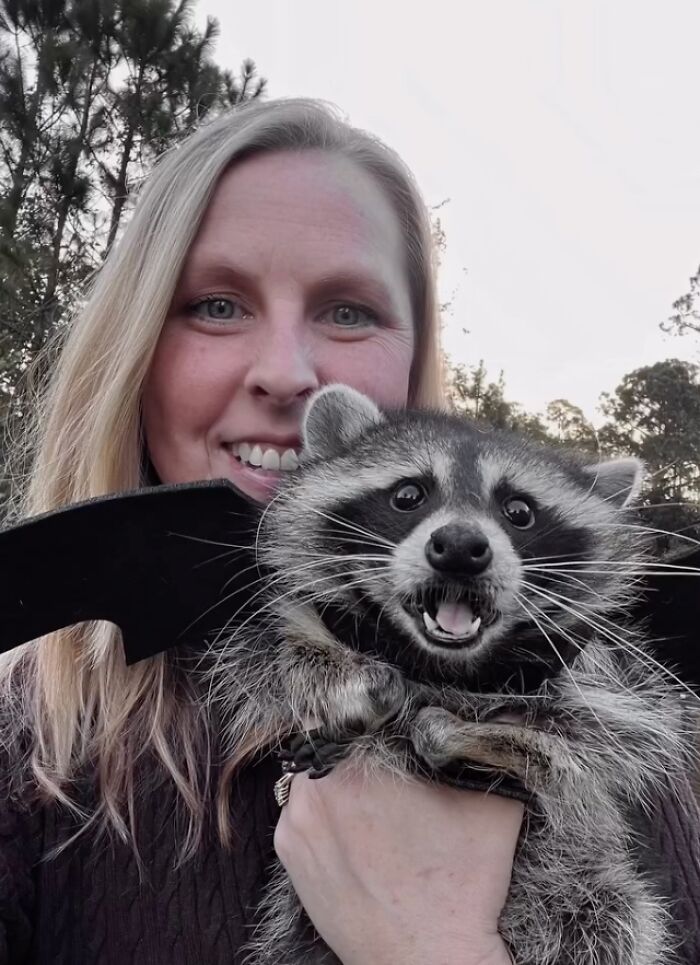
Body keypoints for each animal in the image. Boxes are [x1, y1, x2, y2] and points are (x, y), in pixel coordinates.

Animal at [207, 384, 693, 965]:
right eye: (408, 495)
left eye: (519, 511)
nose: (460, 546)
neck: (441, 665)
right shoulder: (288, 632)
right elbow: (276, 648)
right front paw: (341, 679)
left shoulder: (610, 679)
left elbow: (605, 739)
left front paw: (489, 738)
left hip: (587, 894)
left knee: (602, 918)